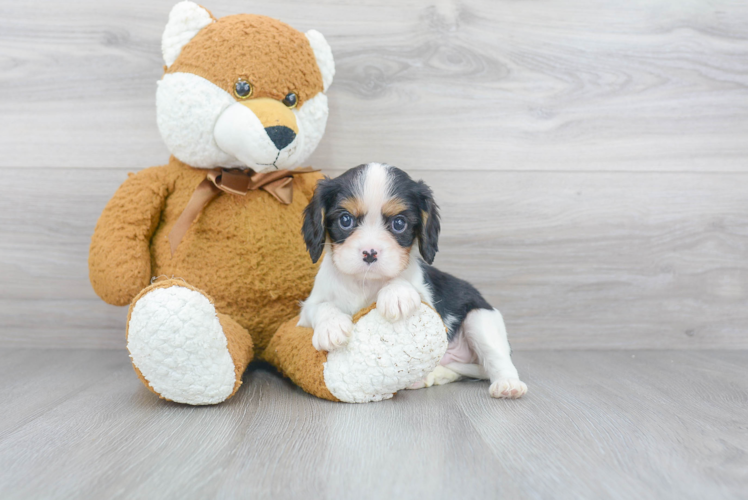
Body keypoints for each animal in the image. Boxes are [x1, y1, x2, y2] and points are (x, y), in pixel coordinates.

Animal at [298, 163, 524, 398]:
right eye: (345, 220)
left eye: (399, 223)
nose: (370, 253)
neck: (365, 282)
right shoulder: (306, 311)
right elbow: (322, 306)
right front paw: (331, 326)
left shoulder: (428, 301)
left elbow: (404, 282)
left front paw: (396, 294)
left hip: (480, 318)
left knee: (498, 359)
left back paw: (508, 384)